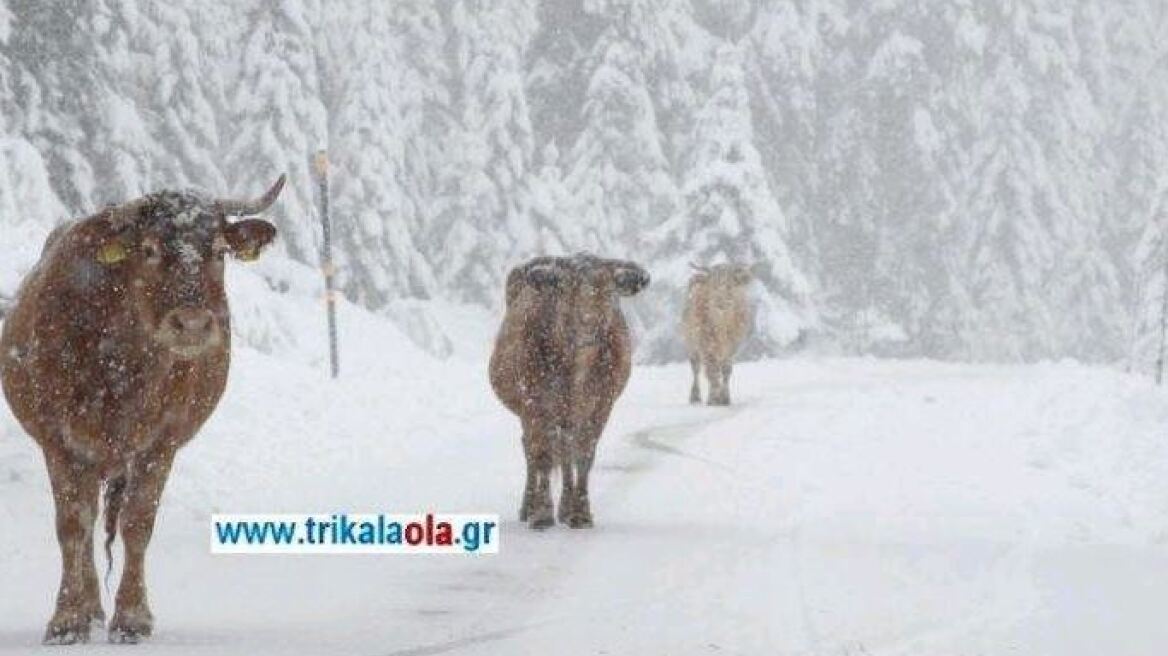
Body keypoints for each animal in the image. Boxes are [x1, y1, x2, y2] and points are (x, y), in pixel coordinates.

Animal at [1, 173, 284, 639]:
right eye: (149, 249)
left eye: (218, 251)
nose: (192, 323)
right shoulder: (59, 440)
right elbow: (72, 525)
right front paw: (67, 619)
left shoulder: (161, 443)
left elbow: (138, 523)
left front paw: (132, 616)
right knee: (87, 520)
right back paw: (89, 607)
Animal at [682, 260, 752, 403]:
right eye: (713, 286)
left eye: (730, 286)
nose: (720, 302)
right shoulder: (704, 343)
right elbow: (711, 370)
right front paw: (714, 398)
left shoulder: (733, 346)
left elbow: (726, 369)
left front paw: (724, 398)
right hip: (690, 342)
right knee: (696, 368)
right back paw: (695, 396)